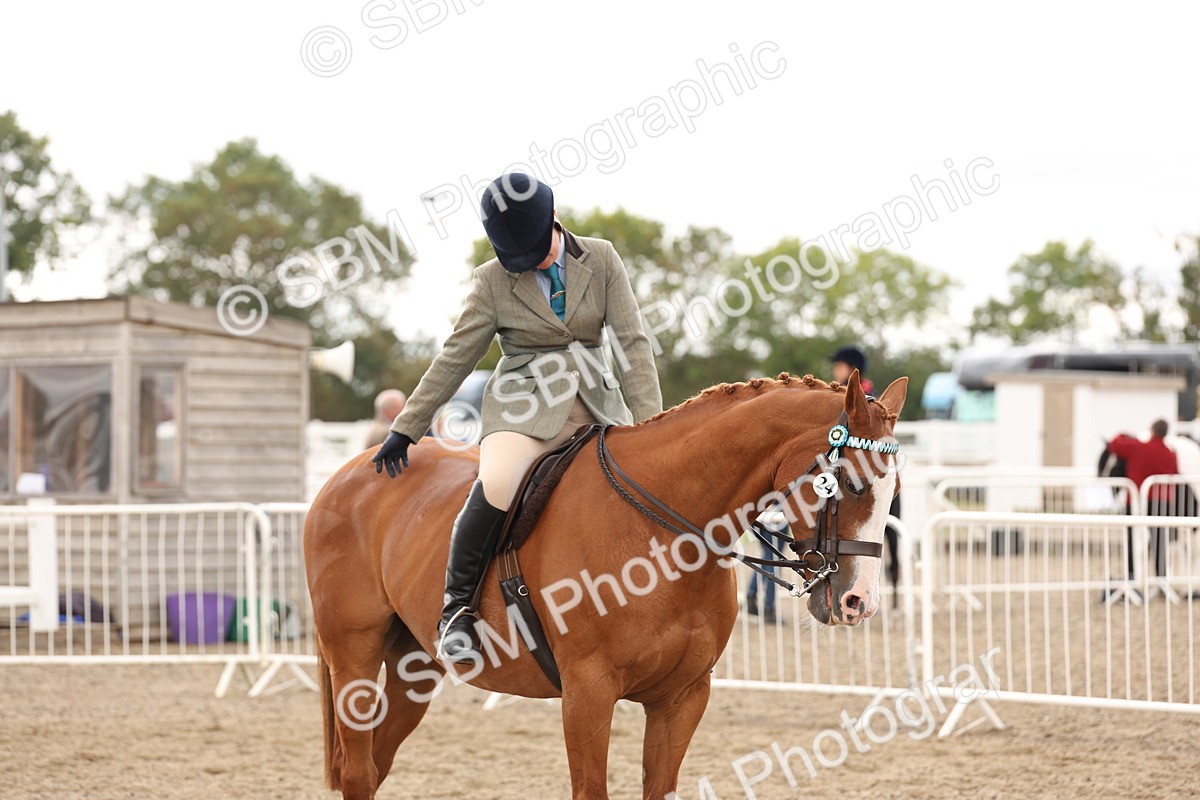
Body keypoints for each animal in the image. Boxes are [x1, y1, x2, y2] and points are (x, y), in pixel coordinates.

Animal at [304, 370, 907, 800]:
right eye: (852, 484)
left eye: (894, 491)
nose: (858, 602)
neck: (665, 539)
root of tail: (352, 470)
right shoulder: (587, 694)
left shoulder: (682, 698)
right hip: (355, 660)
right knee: (358, 773)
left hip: (414, 669)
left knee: (378, 764)